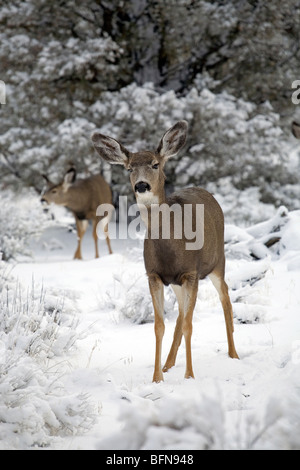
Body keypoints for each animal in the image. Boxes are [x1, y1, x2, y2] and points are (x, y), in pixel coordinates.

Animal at [91, 121, 239, 382]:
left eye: (155, 164)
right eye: (129, 168)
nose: (141, 185)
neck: (170, 247)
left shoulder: (191, 272)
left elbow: (190, 324)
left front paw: (189, 375)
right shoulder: (154, 274)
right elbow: (159, 325)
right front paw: (157, 377)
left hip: (217, 263)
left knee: (225, 300)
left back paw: (233, 354)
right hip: (179, 282)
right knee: (180, 313)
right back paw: (169, 364)